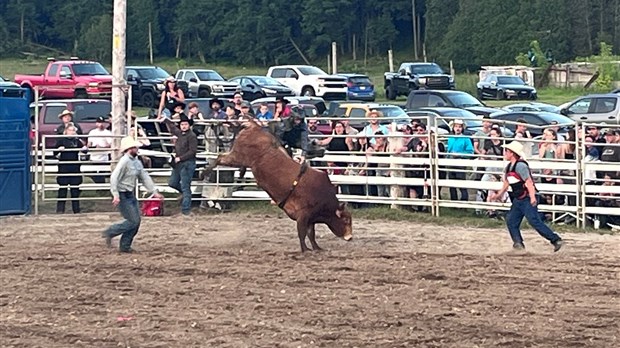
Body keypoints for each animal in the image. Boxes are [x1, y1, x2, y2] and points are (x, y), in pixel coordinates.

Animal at [202, 118, 352, 251]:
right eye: (345, 220)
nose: (350, 237)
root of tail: (254, 127)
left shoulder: (311, 218)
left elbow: (311, 234)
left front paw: (317, 248)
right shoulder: (303, 216)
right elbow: (302, 233)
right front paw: (305, 249)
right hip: (238, 156)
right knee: (220, 157)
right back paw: (204, 172)